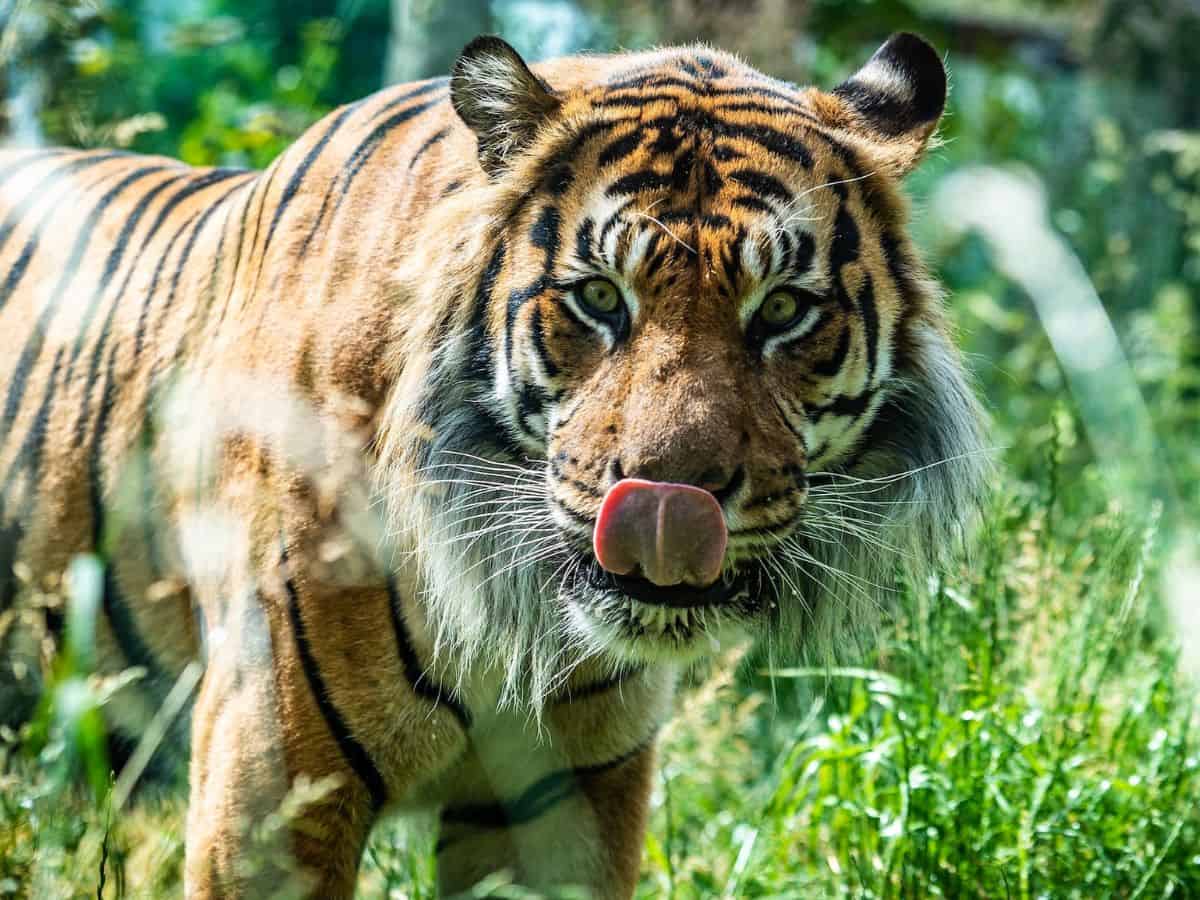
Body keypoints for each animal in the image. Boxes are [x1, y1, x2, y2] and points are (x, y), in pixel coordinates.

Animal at [0, 31, 984, 900]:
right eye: (599, 298)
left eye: (781, 309)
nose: (673, 501)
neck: (515, 617)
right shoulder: (272, 786)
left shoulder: (569, 801)